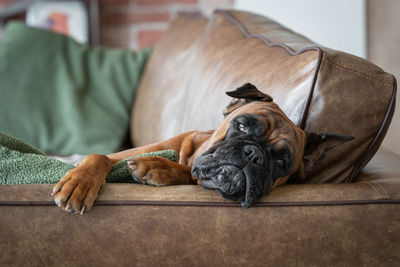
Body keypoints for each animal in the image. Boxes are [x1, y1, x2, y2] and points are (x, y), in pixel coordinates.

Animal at [50, 82, 354, 215]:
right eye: (242, 127)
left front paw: (159, 167)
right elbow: (99, 157)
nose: (253, 155)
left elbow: (186, 172)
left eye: (280, 163)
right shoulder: (118, 156)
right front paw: (79, 183)